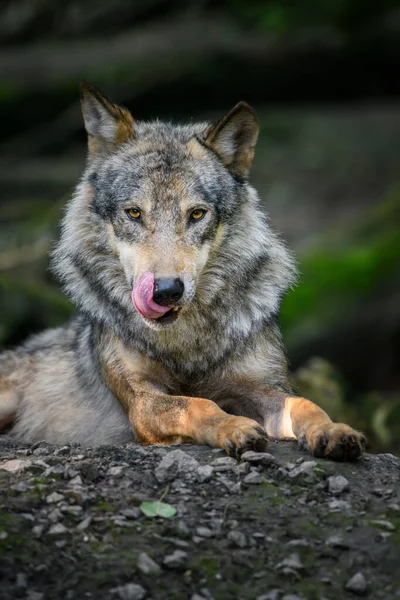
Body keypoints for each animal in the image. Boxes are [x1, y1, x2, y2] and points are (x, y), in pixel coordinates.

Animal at [0, 83, 366, 460]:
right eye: (134, 213)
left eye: (196, 214)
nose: (165, 291)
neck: (184, 343)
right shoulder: (143, 401)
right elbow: (196, 403)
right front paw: (232, 427)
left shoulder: (260, 386)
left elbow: (304, 403)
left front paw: (333, 430)